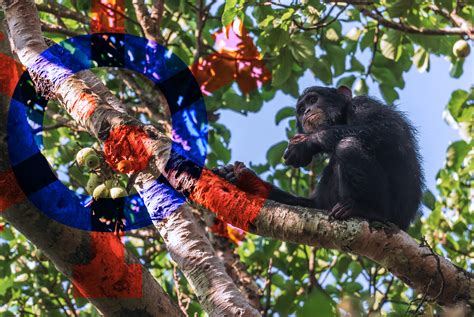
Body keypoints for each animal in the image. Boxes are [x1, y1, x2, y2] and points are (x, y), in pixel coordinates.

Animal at [213, 86, 424, 230]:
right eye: (301, 109)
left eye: (313, 99)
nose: (306, 111)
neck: (342, 118)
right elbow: (317, 204)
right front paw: (242, 178)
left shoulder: (363, 105)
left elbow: (386, 130)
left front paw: (306, 144)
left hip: (393, 216)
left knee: (348, 146)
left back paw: (369, 209)